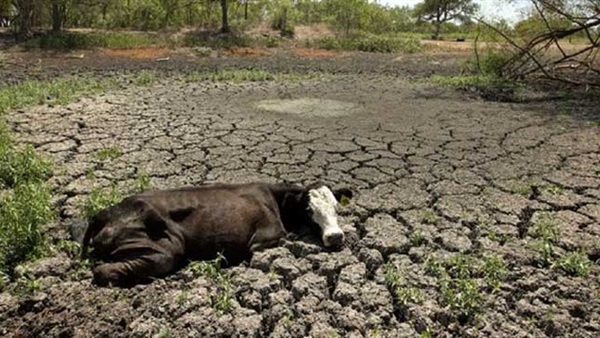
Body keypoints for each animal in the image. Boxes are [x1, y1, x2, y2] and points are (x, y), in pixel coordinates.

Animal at [79, 181, 352, 286]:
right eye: (308, 210)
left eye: (336, 207)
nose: (336, 236)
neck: (274, 198)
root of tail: (103, 214)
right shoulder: (263, 238)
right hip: (162, 249)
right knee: (103, 270)